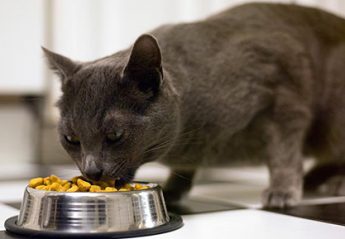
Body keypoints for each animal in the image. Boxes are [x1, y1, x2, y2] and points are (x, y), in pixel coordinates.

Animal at [43, 2, 345, 208]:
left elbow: (283, 152)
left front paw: (282, 191)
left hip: (333, 121)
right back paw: (315, 178)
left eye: (115, 135)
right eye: (71, 139)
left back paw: (333, 182)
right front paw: (173, 187)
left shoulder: (283, 99)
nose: (92, 171)